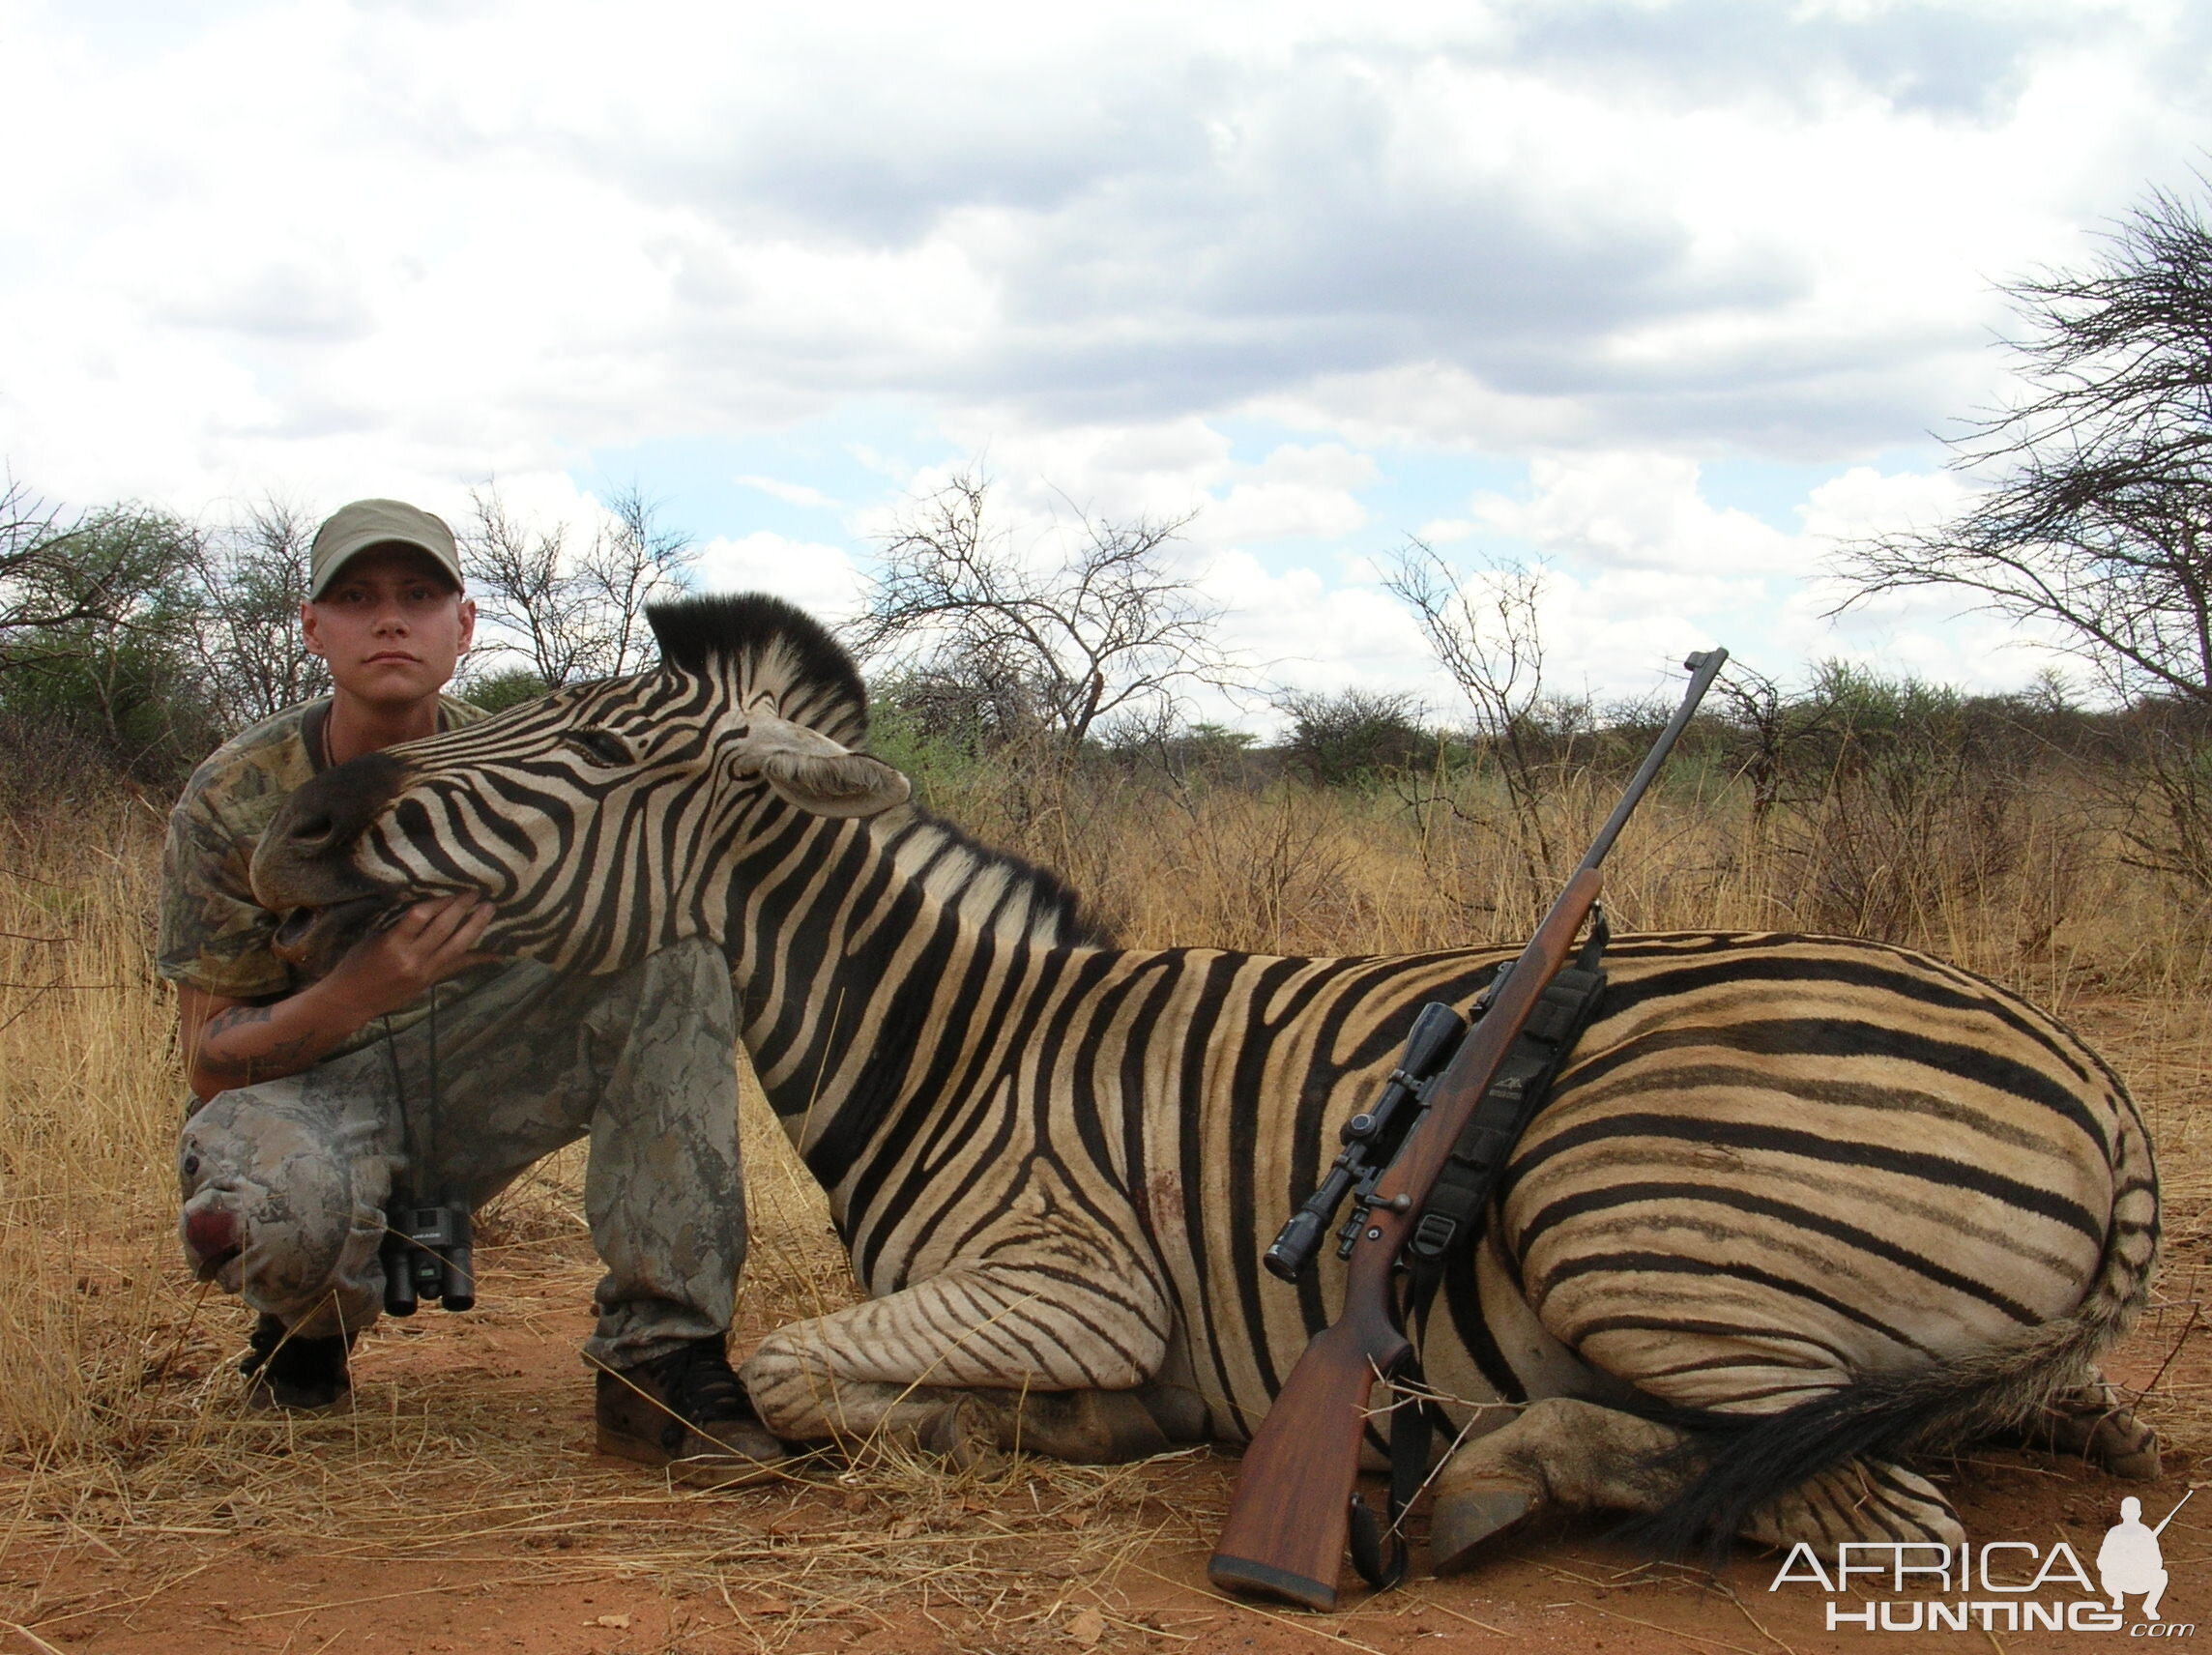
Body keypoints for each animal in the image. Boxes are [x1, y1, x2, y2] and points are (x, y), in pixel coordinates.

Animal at [247, 593, 2159, 1566]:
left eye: (578, 747)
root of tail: (2102, 1096)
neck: (954, 1039)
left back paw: (1497, 1464)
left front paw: (1026, 1430)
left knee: (1858, 1505)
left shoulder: (1070, 1282)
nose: (300, 822)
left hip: (1627, 1229)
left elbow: (794, 1374)